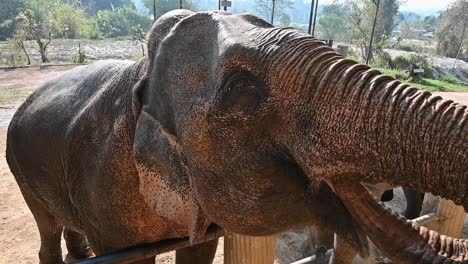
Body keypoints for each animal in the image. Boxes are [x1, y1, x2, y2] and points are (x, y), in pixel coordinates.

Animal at [5, 9, 468, 264]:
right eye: (241, 88)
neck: (143, 73)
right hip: (20, 167)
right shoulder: (106, 192)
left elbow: (197, 252)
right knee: (46, 228)